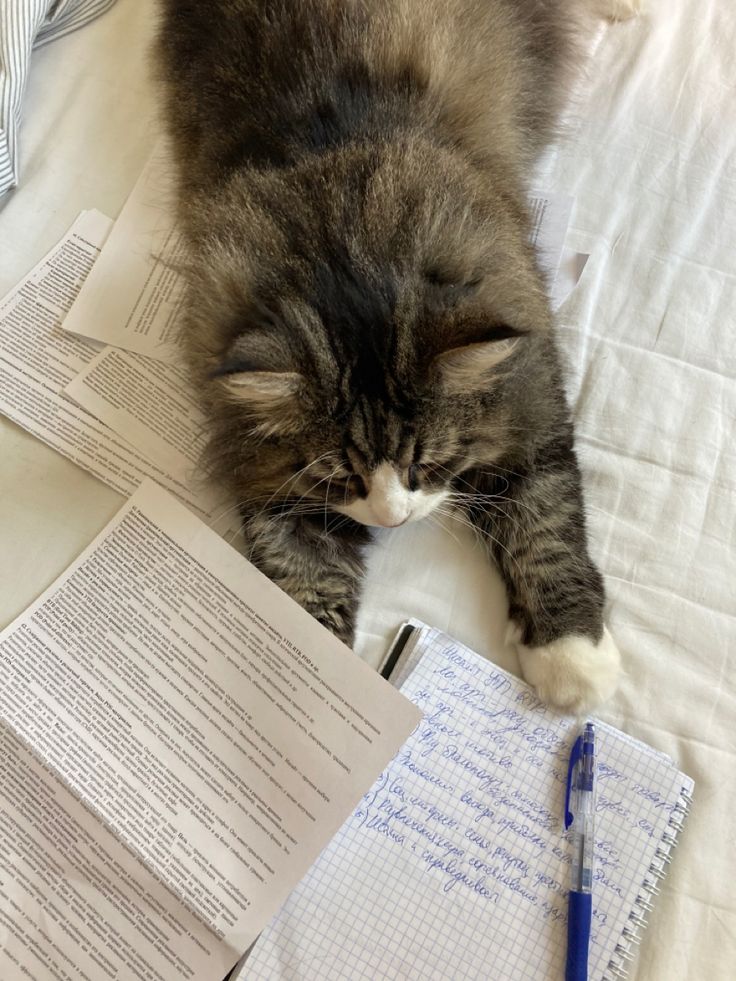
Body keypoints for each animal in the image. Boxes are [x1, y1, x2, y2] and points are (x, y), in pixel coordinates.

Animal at [157, 0, 644, 708]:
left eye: (429, 462)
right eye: (339, 479)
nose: (392, 519)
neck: (346, 235)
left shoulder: (534, 407)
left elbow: (545, 522)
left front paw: (572, 658)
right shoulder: (275, 491)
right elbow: (299, 594)